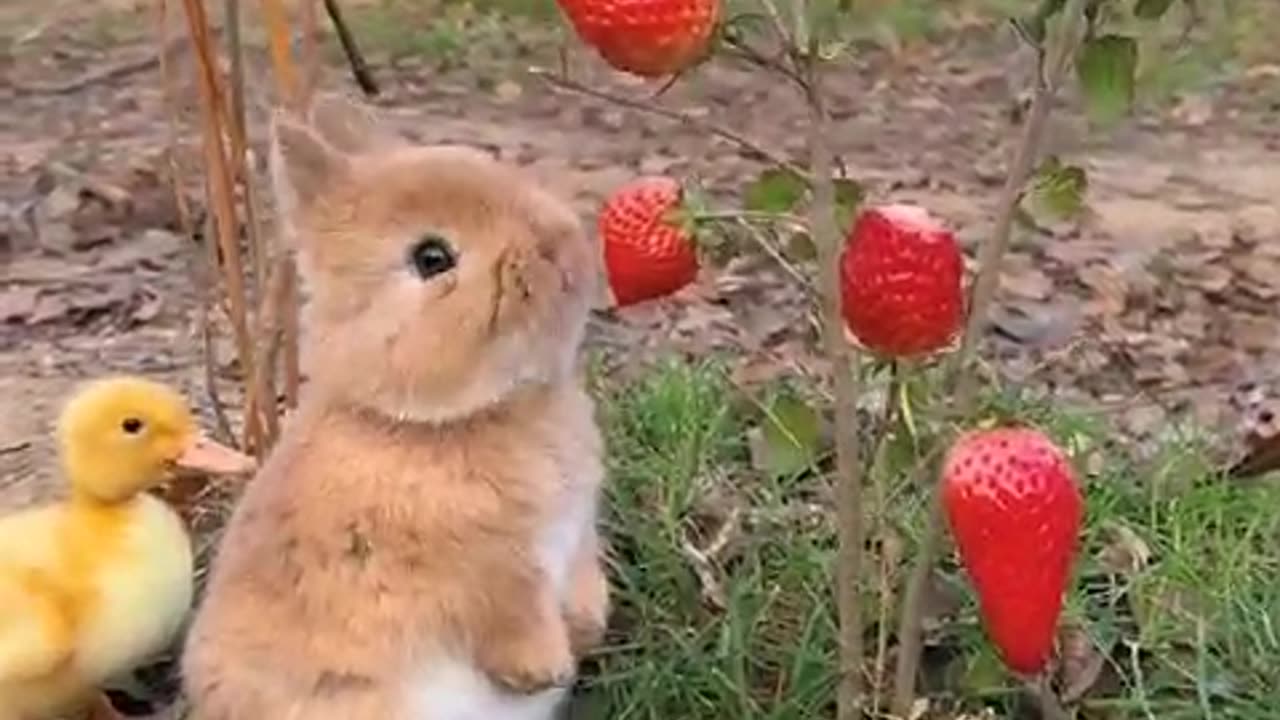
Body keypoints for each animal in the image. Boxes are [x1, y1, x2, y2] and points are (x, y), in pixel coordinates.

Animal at [179, 96, 609, 717]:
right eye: (432, 258)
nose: (566, 253)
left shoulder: (575, 534)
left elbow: (580, 575)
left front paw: (588, 629)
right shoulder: (482, 575)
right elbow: (508, 613)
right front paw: (544, 668)